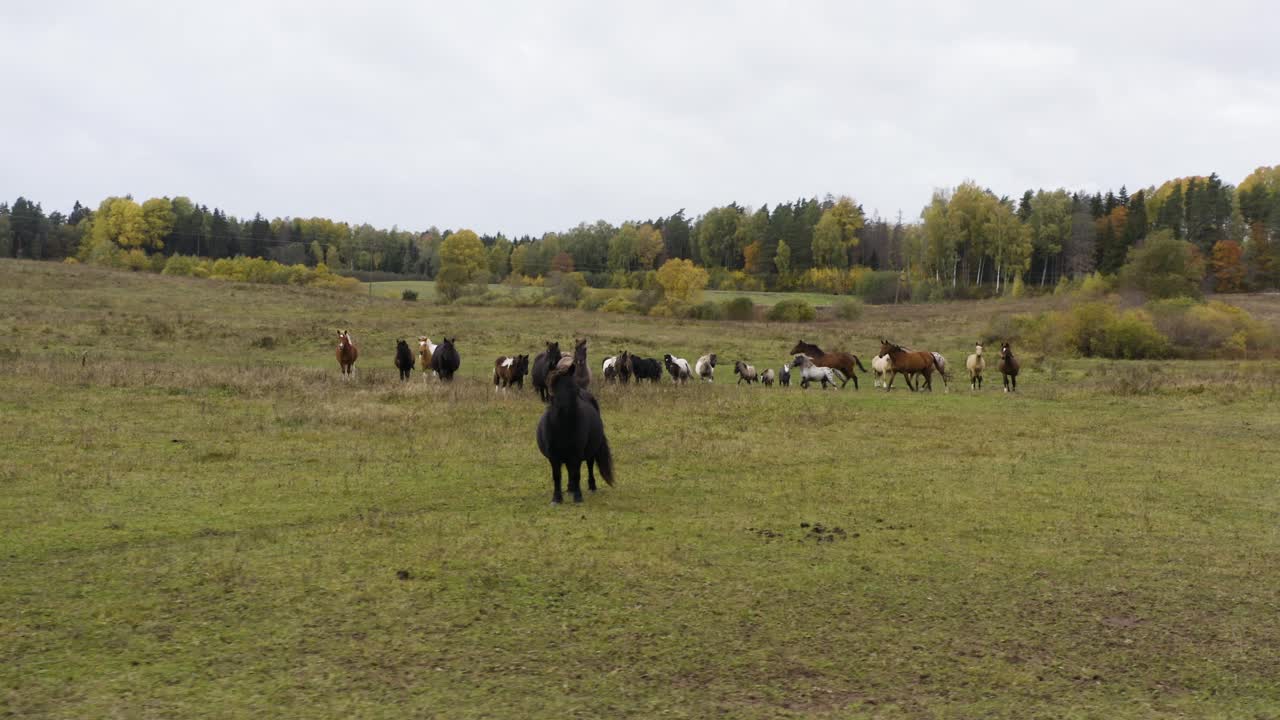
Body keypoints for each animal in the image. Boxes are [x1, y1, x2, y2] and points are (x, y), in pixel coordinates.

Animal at [536, 356, 615, 504]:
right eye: (552, 388)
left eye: (572, 387)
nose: (563, 409)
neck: (563, 427)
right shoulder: (554, 456)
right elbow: (557, 475)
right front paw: (557, 498)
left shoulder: (577, 453)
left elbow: (576, 473)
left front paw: (578, 497)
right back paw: (570, 488)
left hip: (589, 451)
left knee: (589, 465)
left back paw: (590, 486)